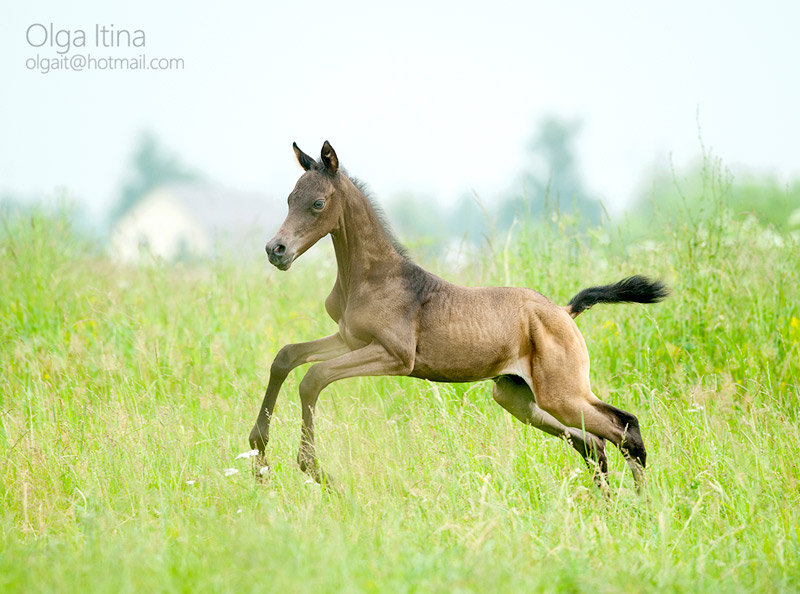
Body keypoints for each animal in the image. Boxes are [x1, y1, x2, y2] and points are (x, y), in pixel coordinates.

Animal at [250, 141, 668, 488]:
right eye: (290, 199)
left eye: (318, 203)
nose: (276, 250)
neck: (371, 277)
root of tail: (565, 312)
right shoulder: (349, 339)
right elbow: (286, 357)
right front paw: (258, 453)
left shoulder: (395, 356)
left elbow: (314, 378)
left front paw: (313, 468)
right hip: (517, 397)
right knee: (593, 444)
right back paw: (608, 505)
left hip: (562, 393)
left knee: (625, 429)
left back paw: (643, 507)